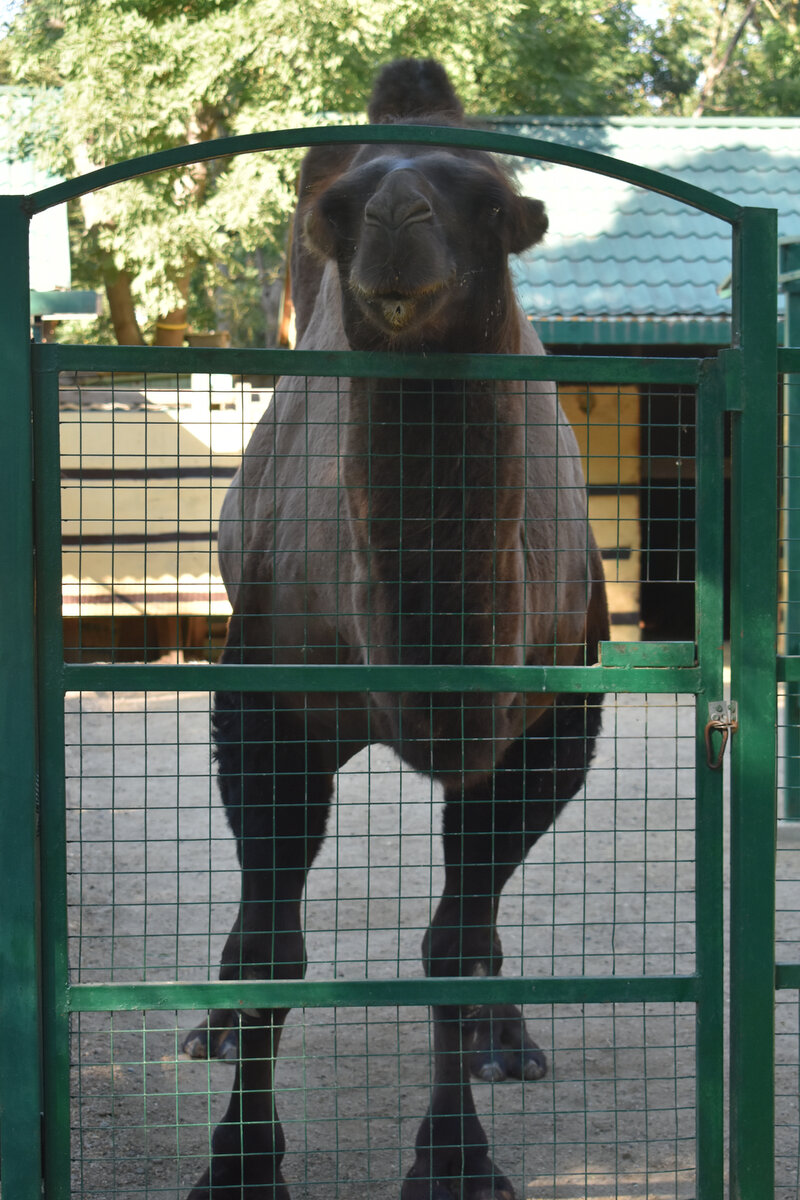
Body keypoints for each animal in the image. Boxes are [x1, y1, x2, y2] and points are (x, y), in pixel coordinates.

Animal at [184, 60, 609, 1200]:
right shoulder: (266, 704)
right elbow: (274, 954)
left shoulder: (553, 722)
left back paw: (510, 1042)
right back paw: (209, 1028)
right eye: (337, 207)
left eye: (494, 208)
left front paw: (456, 1162)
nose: (396, 219)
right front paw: (239, 1167)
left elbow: (455, 944)